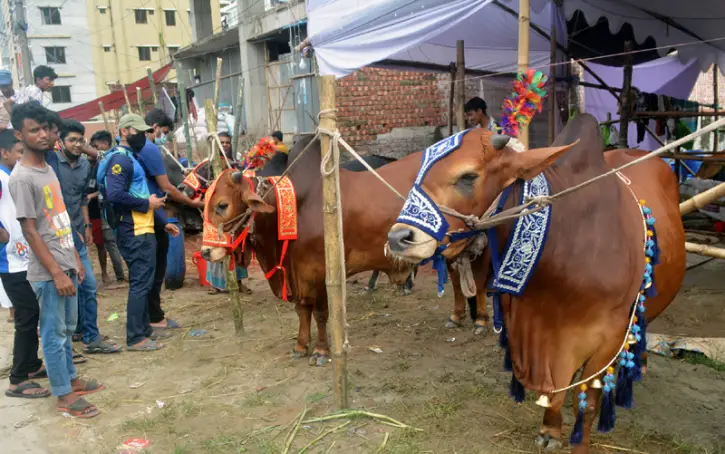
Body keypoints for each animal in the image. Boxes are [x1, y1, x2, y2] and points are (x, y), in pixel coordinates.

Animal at [201, 133, 490, 364]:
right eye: (204, 203)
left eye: (222, 205)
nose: (205, 252)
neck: (294, 207)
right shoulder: (299, 276)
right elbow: (302, 311)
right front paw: (300, 346)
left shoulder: (319, 272)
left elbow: (320, 313)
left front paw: (320, 351)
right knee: (456, 279)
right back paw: (456, 316)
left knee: (480, 280)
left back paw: (481, 321)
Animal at [388, 114, 680, 454]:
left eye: (468, 176)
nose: (398, 238)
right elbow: (553, 394)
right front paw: (550, 430)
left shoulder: (608, 341)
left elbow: (587, 403)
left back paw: (640, 364)